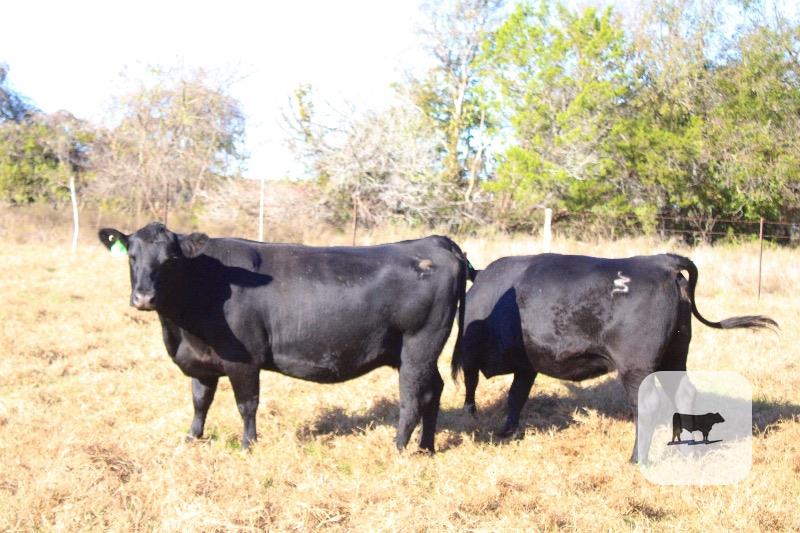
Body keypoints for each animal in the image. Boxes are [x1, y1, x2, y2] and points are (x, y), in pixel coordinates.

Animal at [99, 222, 471, 452]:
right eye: (132, 256)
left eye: (170, 260)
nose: (143, 297)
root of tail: (435, 241)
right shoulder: (202, 361)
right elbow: (200, 401)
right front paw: (192, 438)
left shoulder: (243, 359)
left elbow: (247, 405)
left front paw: (248, 445)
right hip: (414, 352)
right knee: (434, 390)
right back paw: (427, 447)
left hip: (418, 346)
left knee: (412, 397)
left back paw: (398, 447)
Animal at [451, 253, 776, 463]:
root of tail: (661, 262)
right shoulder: (527, 363)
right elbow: (516, 395)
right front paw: (506, 430)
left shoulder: (472, 353)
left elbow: (472, 385)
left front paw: (472, 417)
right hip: (674, 358)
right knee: (685, 393)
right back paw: (689, 452)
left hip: (636, 368)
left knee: (647, 405)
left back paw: (637, 458)